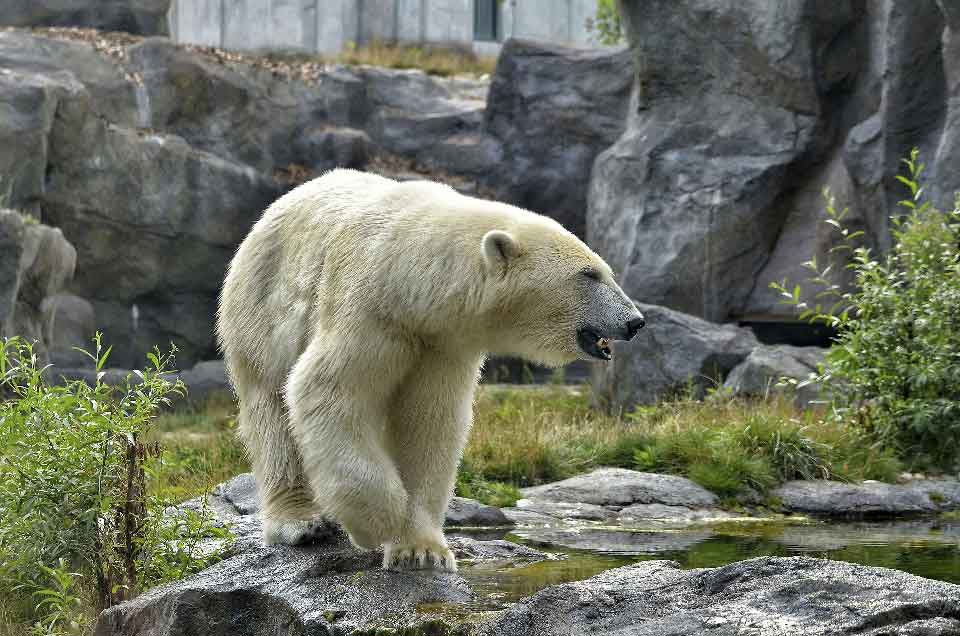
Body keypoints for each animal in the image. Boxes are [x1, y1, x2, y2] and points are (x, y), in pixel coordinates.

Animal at [218, 170, 644, 572]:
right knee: (272, 413)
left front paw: (422, 551)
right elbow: (327, 391)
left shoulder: (443, 344)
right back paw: (300, 523)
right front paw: (379, 521)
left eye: (605, 271)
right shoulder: (369, 310)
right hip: (260, 310)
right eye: (589, 274)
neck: (411, 277)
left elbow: (429, 423)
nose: (635, 321)